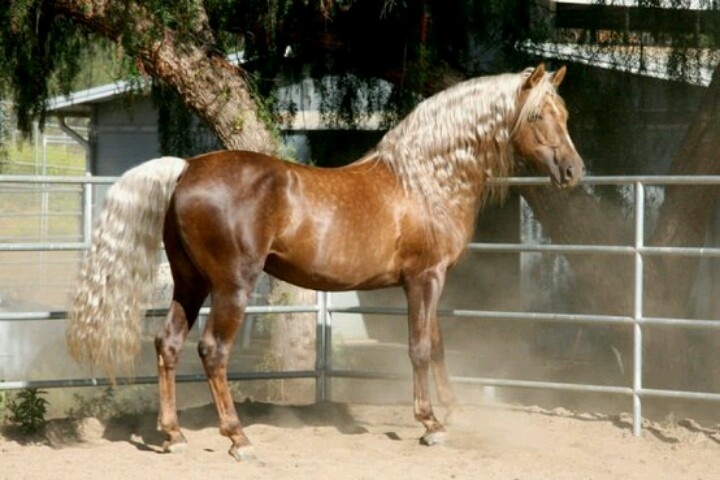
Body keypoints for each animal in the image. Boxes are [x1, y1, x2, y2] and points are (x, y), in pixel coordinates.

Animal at [66, 64, 584, 462]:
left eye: (565, 114)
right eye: (539, 115)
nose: (573, 172)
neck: (424, 179)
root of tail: (186, 168)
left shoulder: (431, 282)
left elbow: (436, 346)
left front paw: (453, 414)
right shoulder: (424, 280)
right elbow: (418, 349)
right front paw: (429, 423)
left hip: (189, 283)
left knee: (168, 344)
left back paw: (173, 435)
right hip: (231, 286)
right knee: (213, 351)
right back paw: (238, 438)